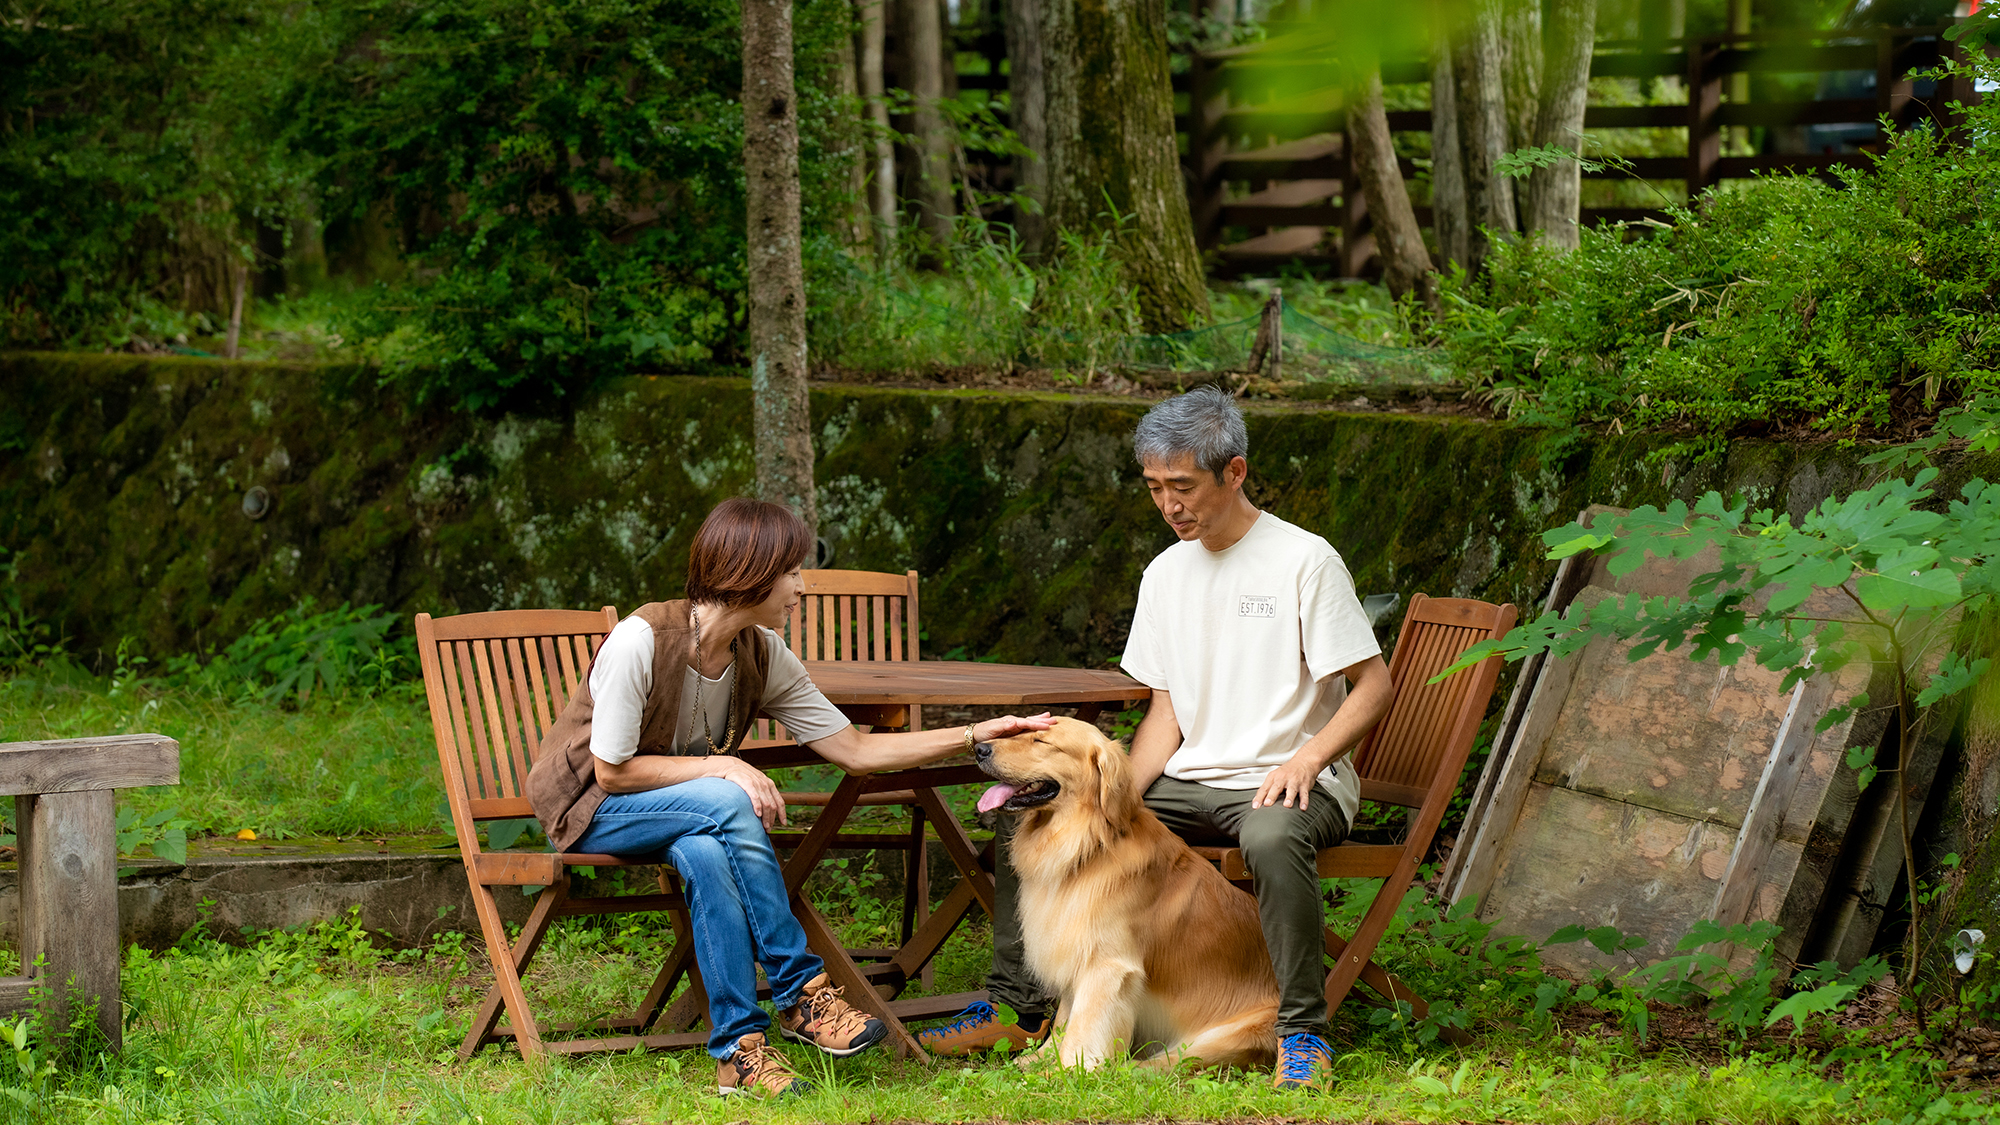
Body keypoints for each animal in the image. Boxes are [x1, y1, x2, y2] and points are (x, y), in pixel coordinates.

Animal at [972, 712, 1280, 1064]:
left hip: (1219, 1039)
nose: (979, 748)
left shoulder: (1106, 964)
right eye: (1021, 731)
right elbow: (1064, 1019)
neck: (1088, 845)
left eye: (1041, 741)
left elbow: (1082, 1028)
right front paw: (1041, 1060)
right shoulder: (1074, 948)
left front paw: (1069, 1069)